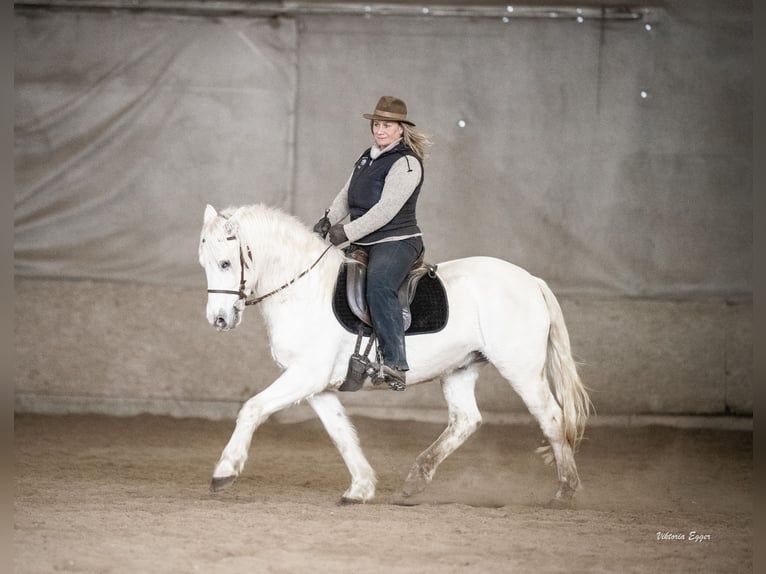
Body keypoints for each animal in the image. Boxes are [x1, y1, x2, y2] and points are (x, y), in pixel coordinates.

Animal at [198, 203, 591, 505]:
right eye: (204, 264)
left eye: (225, 263)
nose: (218, 319)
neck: (304, 288)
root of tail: (531, 281)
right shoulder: (316, 385)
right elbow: (341, 433)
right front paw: (360, 488)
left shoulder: (306, 375)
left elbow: (252, 408)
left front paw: (225, 471)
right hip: (459, 368)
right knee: (465, 420)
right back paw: (414, 482)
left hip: (521, 369)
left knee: (552, 418)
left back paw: (565, 492)